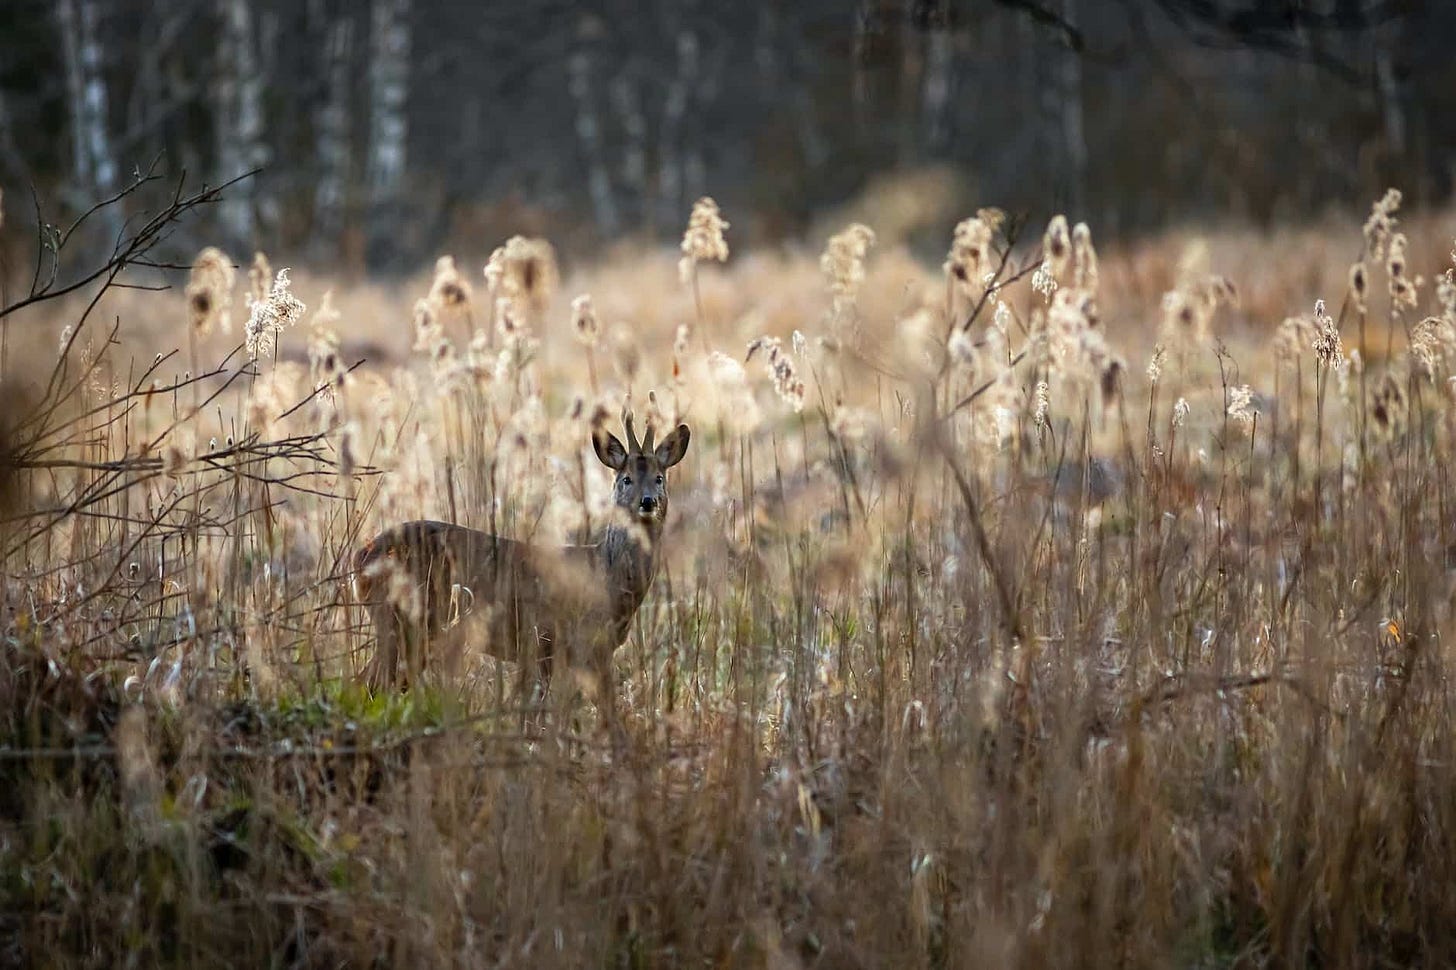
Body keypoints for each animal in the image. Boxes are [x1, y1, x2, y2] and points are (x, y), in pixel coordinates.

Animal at [355, 410, 690, 713]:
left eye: (659, 478)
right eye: (626, 479)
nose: (647, 501)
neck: (608, 577)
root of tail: (361, 557)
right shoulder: (571, 641)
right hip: (401, 621)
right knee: (368, 684)